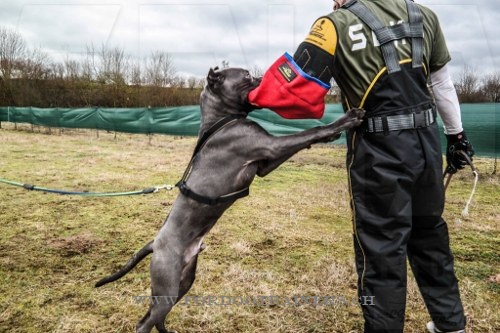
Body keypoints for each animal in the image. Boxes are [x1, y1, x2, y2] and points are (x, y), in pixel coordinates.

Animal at [96, 66, 364, 330]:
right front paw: (344, 121)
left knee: (155, 317)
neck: (221, 120)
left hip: (185, 281)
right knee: (145, 322)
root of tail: (155, 243)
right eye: (245, 75)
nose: (262, 77)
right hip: (167, 286)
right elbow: (308, 132)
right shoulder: (270, 146)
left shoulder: (265, 163)